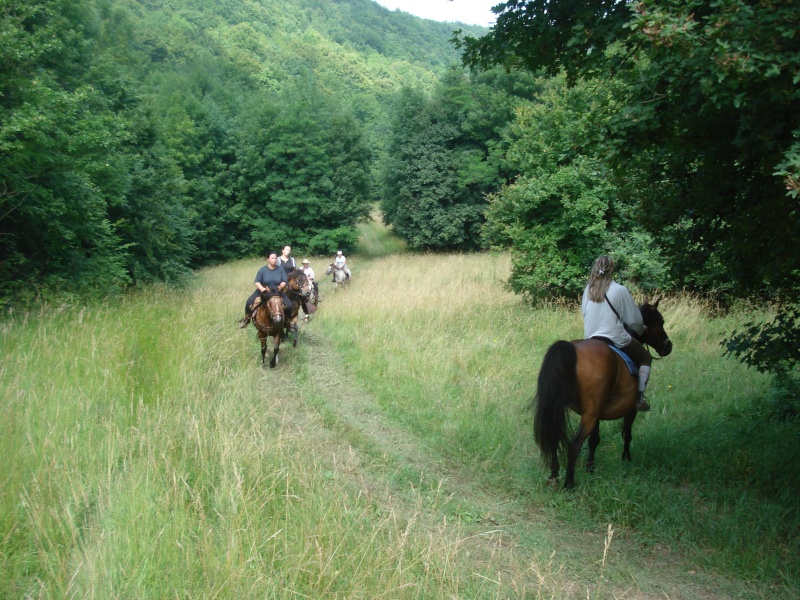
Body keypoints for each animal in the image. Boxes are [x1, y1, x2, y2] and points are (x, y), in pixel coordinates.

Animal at [536, 300, 672, 492]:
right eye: (661, 322)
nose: (668, 346)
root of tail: (571, 348)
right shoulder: (630, 410)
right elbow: (627, 434)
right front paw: (626, 459)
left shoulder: (597, 412)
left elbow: (594, 440)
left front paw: (590, 467)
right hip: (589, 414)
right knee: (574, 445)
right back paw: (569, 484)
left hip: (562, 408)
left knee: (554, 437)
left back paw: (554, 475)